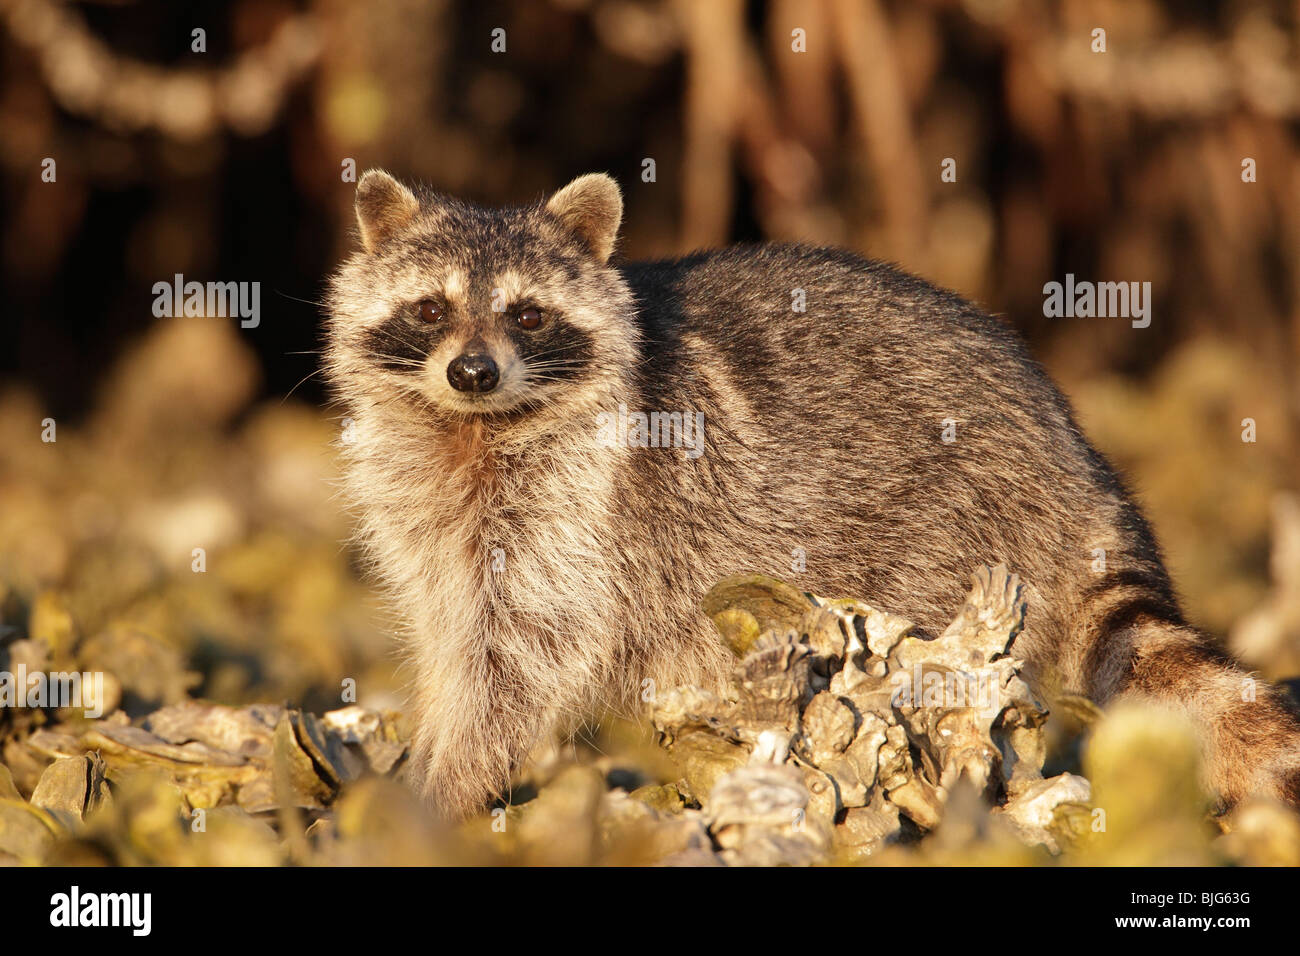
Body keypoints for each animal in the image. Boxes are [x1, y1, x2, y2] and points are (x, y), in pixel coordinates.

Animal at [325, 169, 1300, 819]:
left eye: (527, 315)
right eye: (430, 309)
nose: (473, 371)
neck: (474, 429)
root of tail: (1070, 452)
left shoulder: (583, 512)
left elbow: (519, 658)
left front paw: (443, 786)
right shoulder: (433, 518)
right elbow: (460, 634)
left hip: (946, 528)